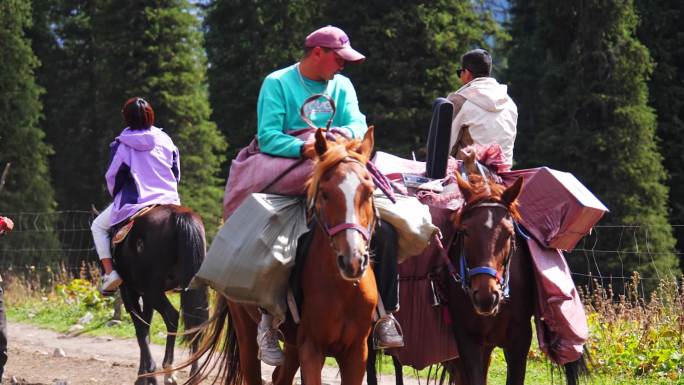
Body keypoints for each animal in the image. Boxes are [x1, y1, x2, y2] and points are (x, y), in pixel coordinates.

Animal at [112, 202, 210, 382]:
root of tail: (179, 215)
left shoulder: (129, 290)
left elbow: (141, 329)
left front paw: (146, 375)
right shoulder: (144, 295)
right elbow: (146, 326)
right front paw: (145, 373)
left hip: (152, 290)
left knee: (172, 316)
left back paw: (168, 371)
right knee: (196, 323)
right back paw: (194, 373)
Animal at [182, 127, 380, 384]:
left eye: (369, 192)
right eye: (325, 194)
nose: (352, 261)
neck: (343, 289)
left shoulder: (356, 353)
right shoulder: (312, 349)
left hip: (293, 346)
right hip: (246, 329)